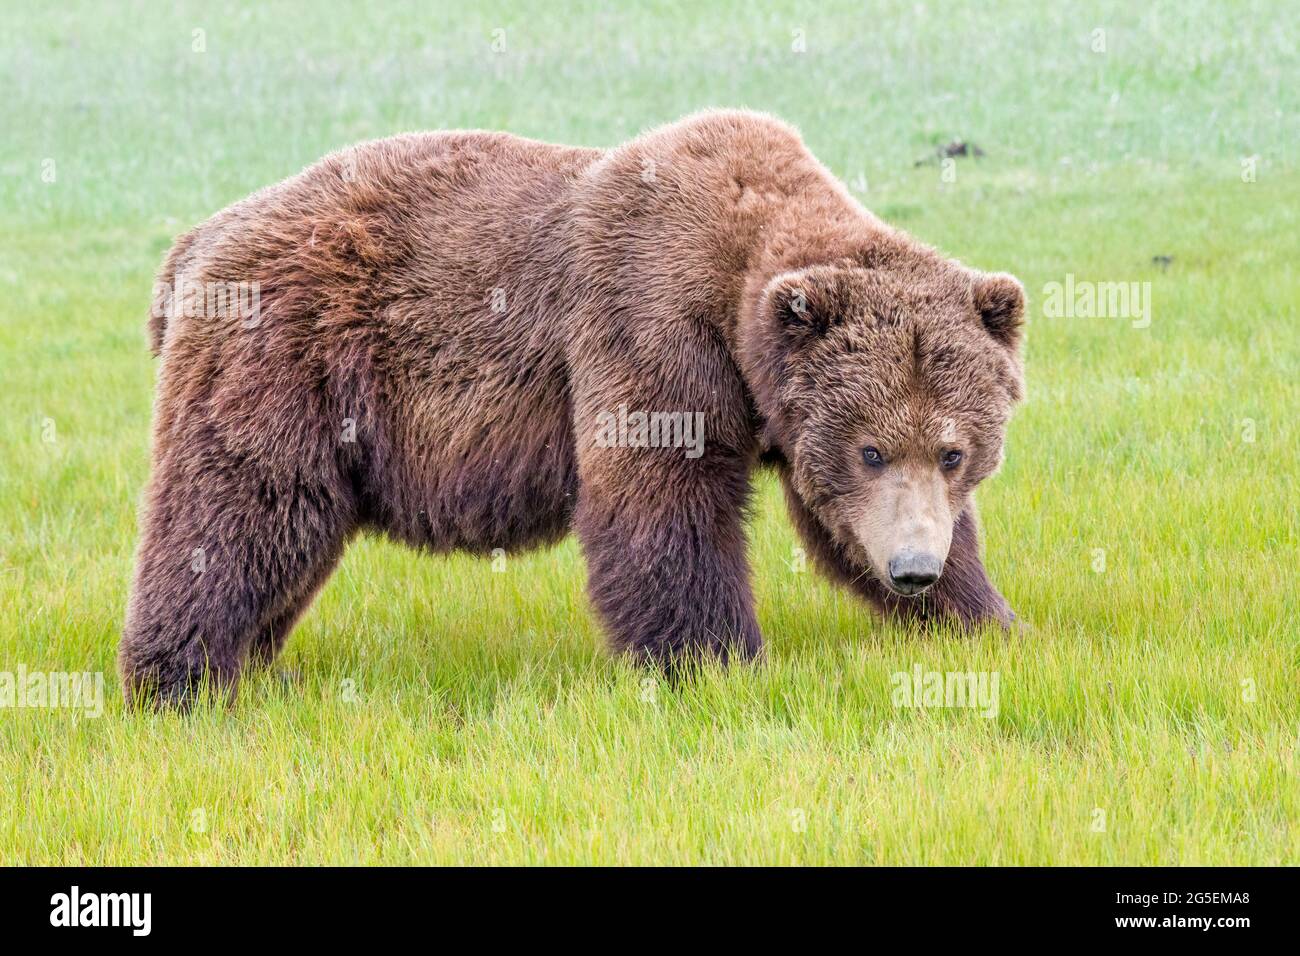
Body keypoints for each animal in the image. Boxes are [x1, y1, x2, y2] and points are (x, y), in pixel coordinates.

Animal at [121, 109, 1025, 707]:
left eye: (953, 451)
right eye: (871, 449)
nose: (914, 568)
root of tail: (197, 239)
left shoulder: (780, 405)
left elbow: (837, 522)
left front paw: (985, 619)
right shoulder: (648, 327)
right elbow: (662, 503)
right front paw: (713, 661)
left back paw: (251, 662)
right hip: (290, 355)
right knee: (241, 508)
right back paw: (177, 680)